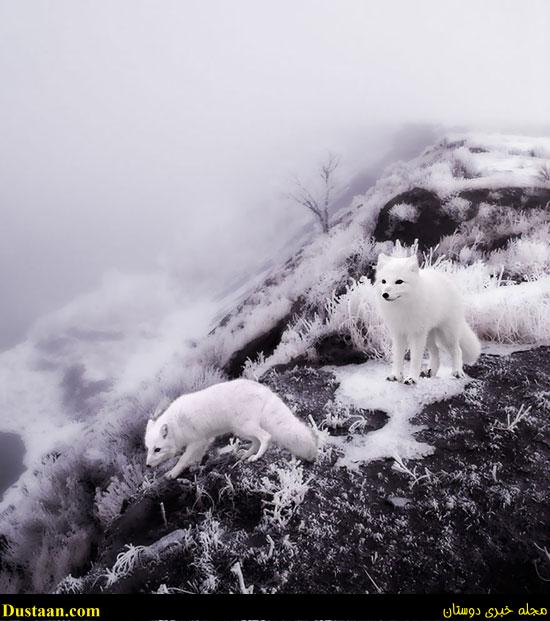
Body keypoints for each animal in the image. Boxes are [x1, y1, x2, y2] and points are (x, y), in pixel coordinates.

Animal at [144, 376, 320, 478]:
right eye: (148, 449)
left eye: (157, 449)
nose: (147, 466)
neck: (176, 425)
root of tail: (264, 389)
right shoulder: (205, 440)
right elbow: (197, 456)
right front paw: (195, 466)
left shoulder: (197, 441)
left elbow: (183, 459)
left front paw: (172, 473)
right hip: (240, 429)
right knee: (256, 440)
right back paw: (245, 455)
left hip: (244, 427)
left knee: (266, 437)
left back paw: (256, 456)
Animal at [376, 252, 484, 382]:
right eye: (384, 281)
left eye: (399, 281)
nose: (385, 294)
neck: (402, 308)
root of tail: (449, 281)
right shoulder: (398, 334)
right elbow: (397, 358)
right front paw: (396, 376)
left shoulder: (417, 334)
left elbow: (415, 359)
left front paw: (411, 379)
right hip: (428, 336)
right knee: (435, 352)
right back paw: (431, 372)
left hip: (447, 336)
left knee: (457, 351)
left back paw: (457, 372)